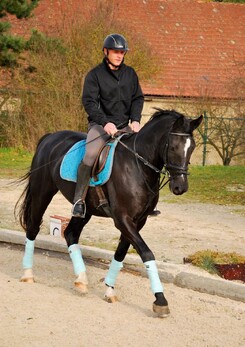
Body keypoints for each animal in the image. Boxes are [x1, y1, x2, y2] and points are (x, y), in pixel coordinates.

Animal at [15, 109, 203, 318]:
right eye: (174, 147)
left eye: (192, 148)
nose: (180, 187)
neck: (138, 165)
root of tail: (49, 137)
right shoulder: (122, 219)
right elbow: (146, 253)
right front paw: (160, 300)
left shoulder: (138, 221)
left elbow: (120, 253)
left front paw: (109, 290)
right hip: (42, 193)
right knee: (33, 228)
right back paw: (28, 274)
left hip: (86, 209)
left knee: (71, 233)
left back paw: (81, 280)